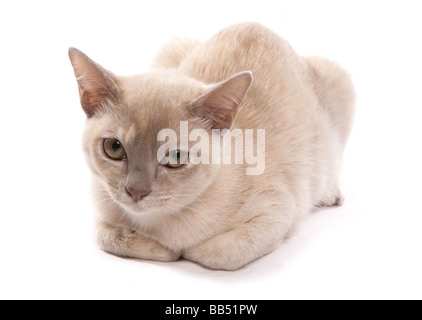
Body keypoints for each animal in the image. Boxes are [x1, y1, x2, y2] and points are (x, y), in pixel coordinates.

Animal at [70, 21, 356, 270]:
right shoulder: (101, 211)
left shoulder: (279, 211)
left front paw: (181, 251)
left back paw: (332, 195)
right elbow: (108, 236)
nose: (136, 193)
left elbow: (218, 253)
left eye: (175, 157)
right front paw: (162, 250)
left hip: (342, 84)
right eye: (114, 148)